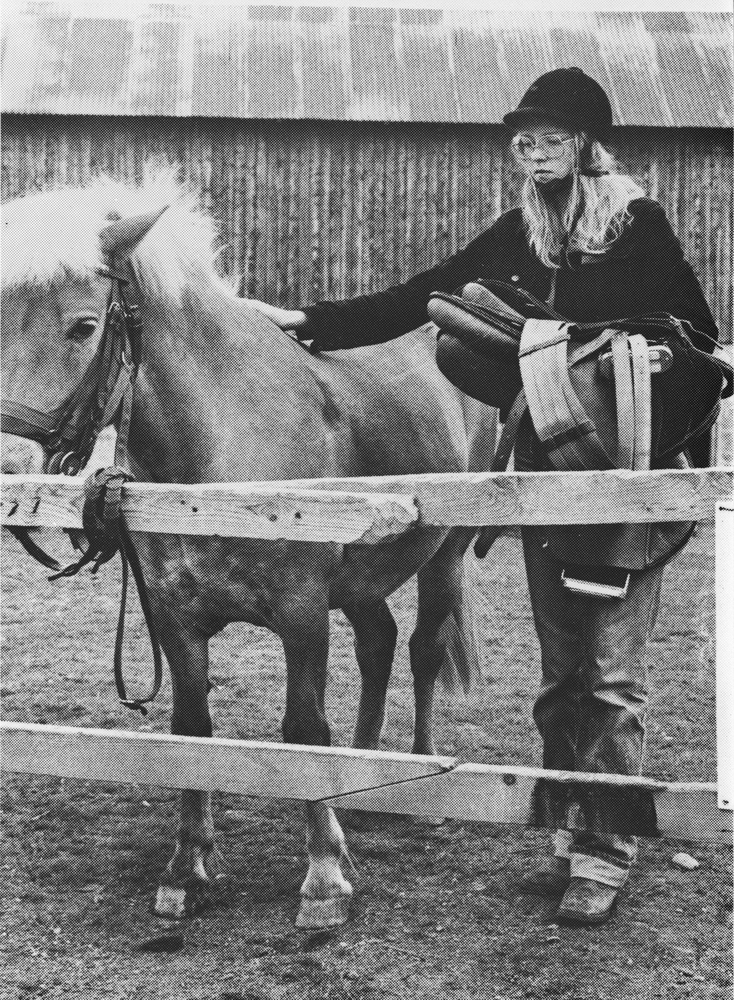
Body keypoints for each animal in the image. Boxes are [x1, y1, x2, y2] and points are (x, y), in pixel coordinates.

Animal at [1, 176, 494, 924]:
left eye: (83, 326)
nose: (9, 469)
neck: (217, 464)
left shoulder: (301, 616)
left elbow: (304, 727)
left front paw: (323, 874)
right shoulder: (174, 620)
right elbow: (193, 729)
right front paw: (187, 863)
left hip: (444, 556)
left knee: (423, 649)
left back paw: (417, 779)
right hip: (362, 581)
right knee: (377, 642)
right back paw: (364, 774)